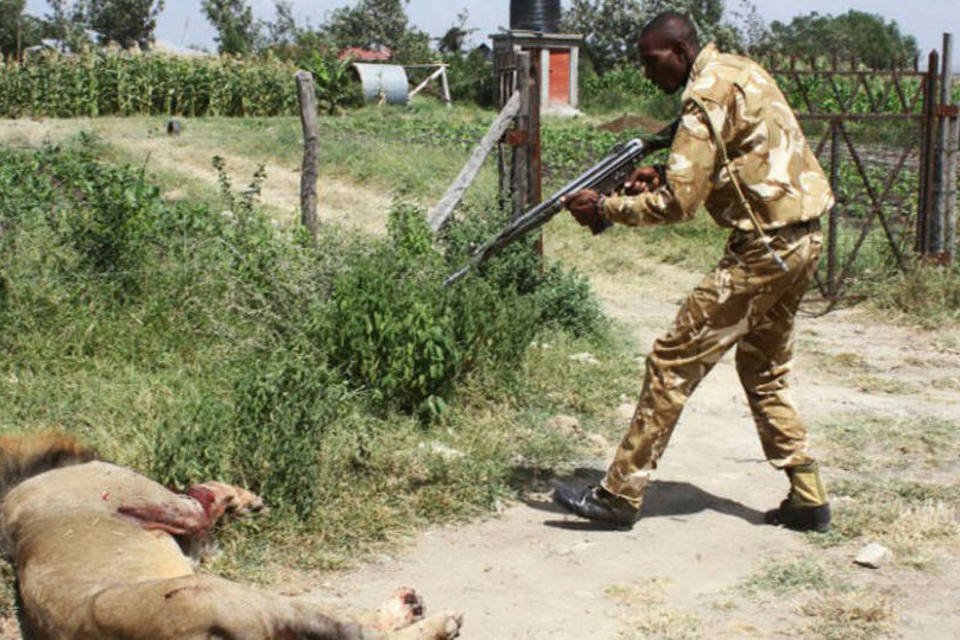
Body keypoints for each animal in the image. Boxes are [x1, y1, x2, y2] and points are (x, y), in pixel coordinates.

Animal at [0, 430, 464, 640]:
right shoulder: (169, 505)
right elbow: (200, 496)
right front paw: (242, 499)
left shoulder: (193, 542)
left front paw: (241, 502)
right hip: (221, 594)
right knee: (357, 631)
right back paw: (430, 617)